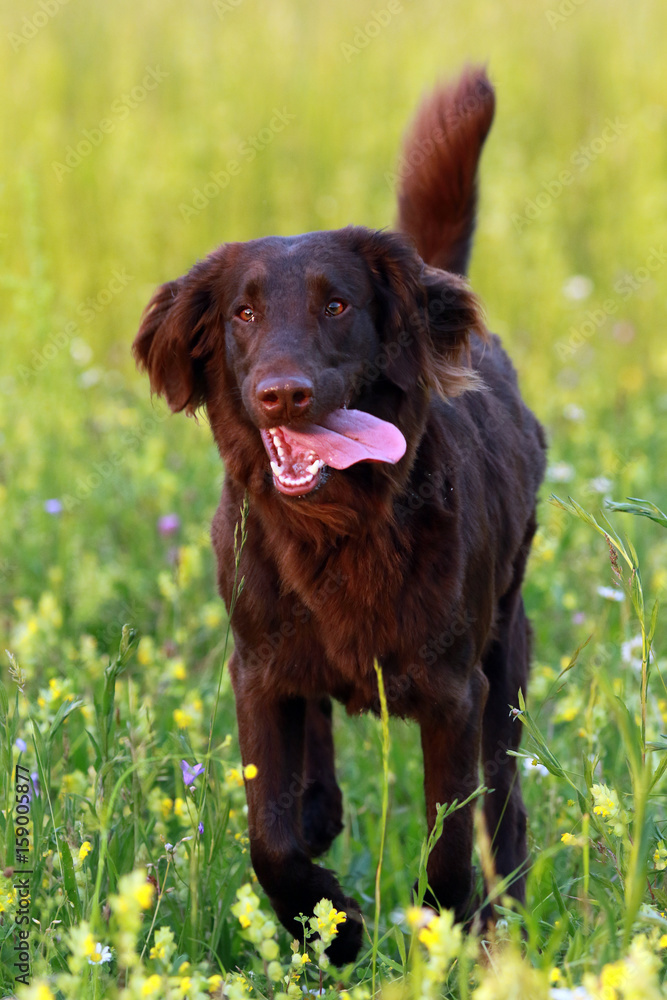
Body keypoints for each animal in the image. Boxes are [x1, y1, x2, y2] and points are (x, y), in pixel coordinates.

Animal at [134, 64, 548, 960]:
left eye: (336, 307)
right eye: (243, 313)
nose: (281, 393)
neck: (337, 527)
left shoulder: (452, 691)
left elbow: (450, 840)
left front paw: (438, 932)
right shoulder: (254, 671)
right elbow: (270, 838)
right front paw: (334, 925)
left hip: (505, 648)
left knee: (502, 802)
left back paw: (499, 916)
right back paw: (322, 807)